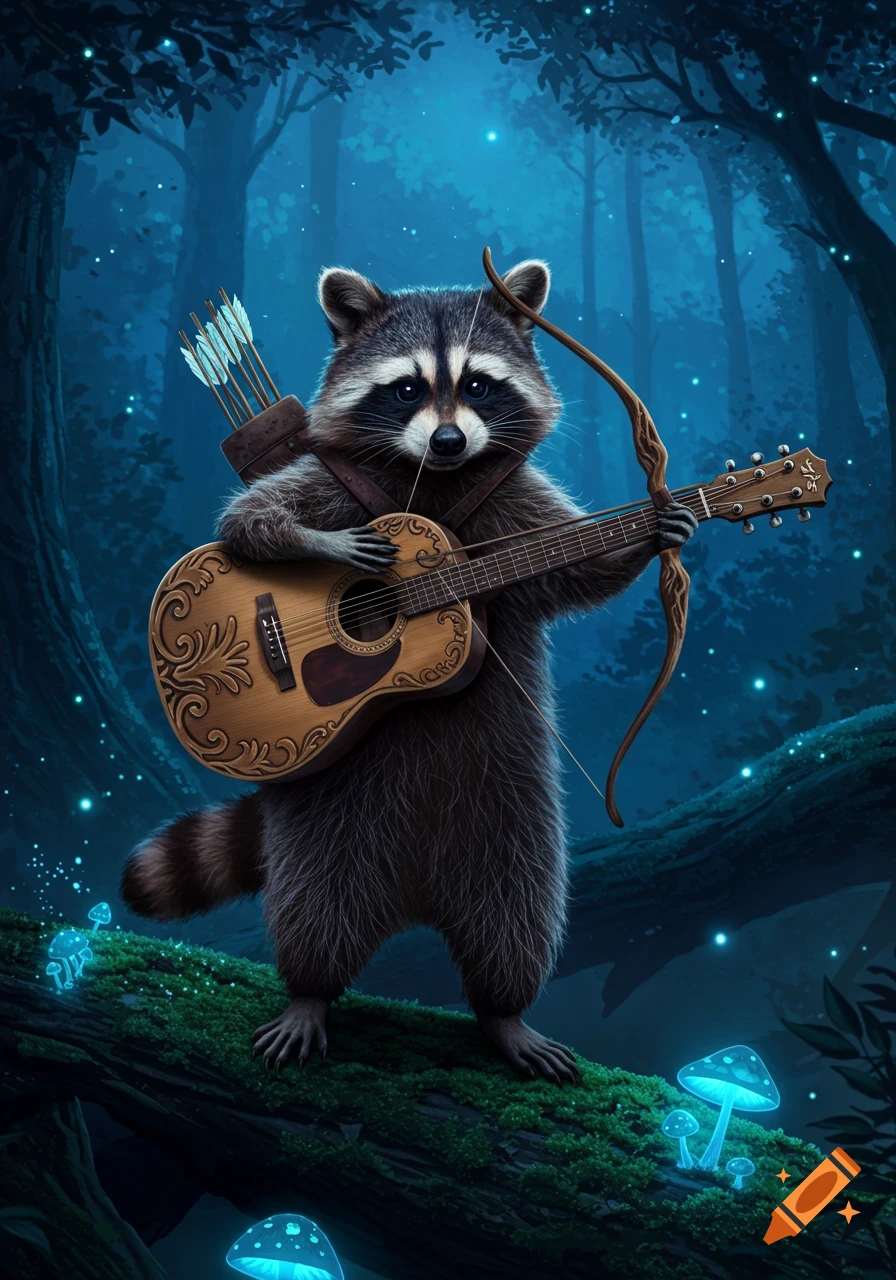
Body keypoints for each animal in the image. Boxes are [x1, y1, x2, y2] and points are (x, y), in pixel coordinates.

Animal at [122, 261, 697, 1080]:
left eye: (480, 385)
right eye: (405, 389)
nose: (450, 439)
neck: (437, 479)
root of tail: (415, 898)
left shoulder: (517, 503)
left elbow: (574, 570)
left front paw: (656, 531)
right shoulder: (326, 479)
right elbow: (246, 520)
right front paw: (325, 545)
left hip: (509, 808)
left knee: (515, 907)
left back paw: (503, 1012)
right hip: (329, 823)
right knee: (316, 904)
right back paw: (310, 992)